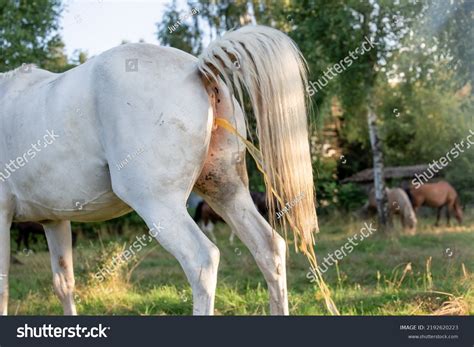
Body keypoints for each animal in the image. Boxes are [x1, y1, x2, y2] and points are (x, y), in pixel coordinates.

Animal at [1, 25, 318, 316]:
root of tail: (197, 69)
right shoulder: (54, 220)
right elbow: (64, 284)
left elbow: (4, 287)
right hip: (225, 191)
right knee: (269, 248)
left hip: (159, 205)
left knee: (202, 261)